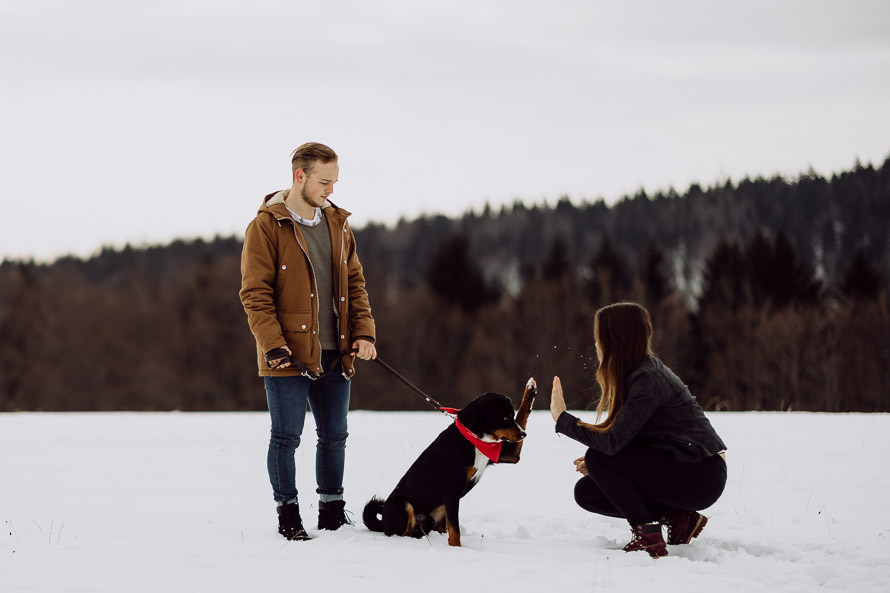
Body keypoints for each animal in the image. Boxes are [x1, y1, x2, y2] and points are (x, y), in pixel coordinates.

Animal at [360, 380, 536, 544]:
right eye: (504, 418)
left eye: (512, 416)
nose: (523, 434)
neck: (472, 439)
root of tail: (382, 523)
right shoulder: (452, 490)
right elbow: (455, 531)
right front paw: (457, 549)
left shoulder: (509, 455)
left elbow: (523, 414)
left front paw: (530, 390)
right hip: (403, 505)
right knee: (400, 533)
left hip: (438, 511)